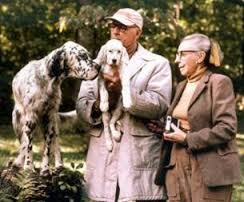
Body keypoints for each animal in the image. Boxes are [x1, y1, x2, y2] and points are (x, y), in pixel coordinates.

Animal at [11, 41, 99, 175]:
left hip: (53, 122)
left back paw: (59, 165)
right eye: (82, 56)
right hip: (17, 121)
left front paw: (45, 169)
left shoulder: (49, 117)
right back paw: (19, 162)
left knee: (56, 143)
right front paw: (29, 167)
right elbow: (28, 146)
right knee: (23, 143)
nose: (99, 67)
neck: (48, 81)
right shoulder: (30, 118)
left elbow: (47, 147)